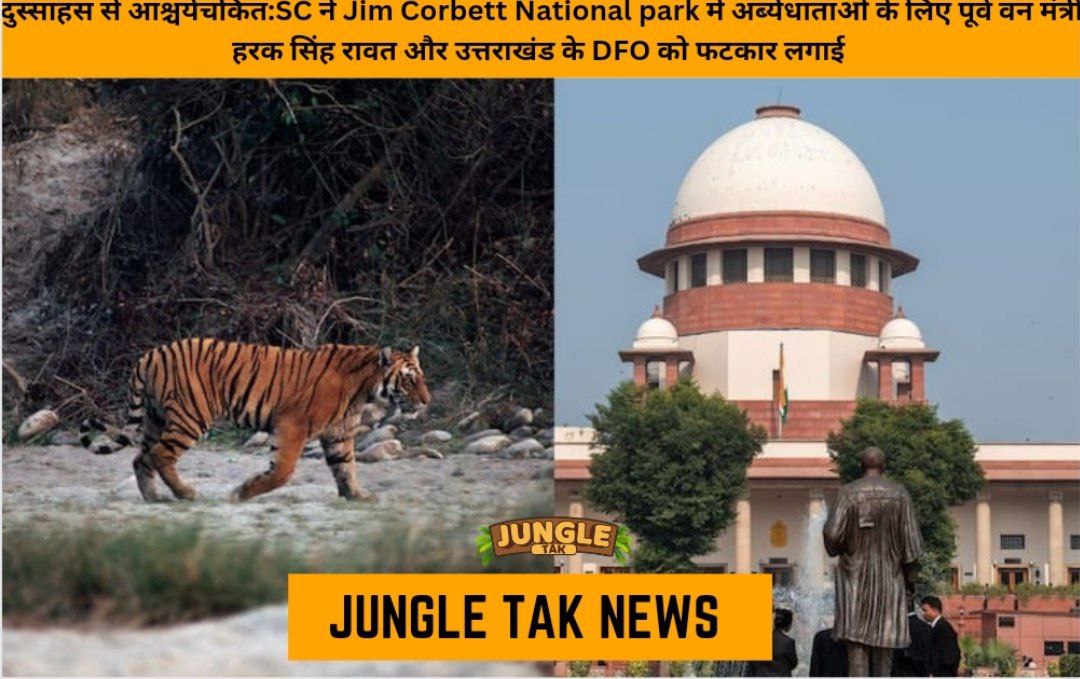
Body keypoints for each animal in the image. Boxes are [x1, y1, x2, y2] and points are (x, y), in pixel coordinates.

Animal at [79, 339, 430, 503]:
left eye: (421, 377)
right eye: (409, 379)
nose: (427, 401)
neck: (365, 388)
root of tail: (151, 354)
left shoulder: (338, 433)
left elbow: (346, 467)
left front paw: (357, 496)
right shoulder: (293, 425)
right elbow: (283, 472)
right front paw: (240, 493)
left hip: (157, 419)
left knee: (141, 458)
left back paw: (154, 498)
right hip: (191, 417)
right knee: (160, 455)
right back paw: (186, 494)